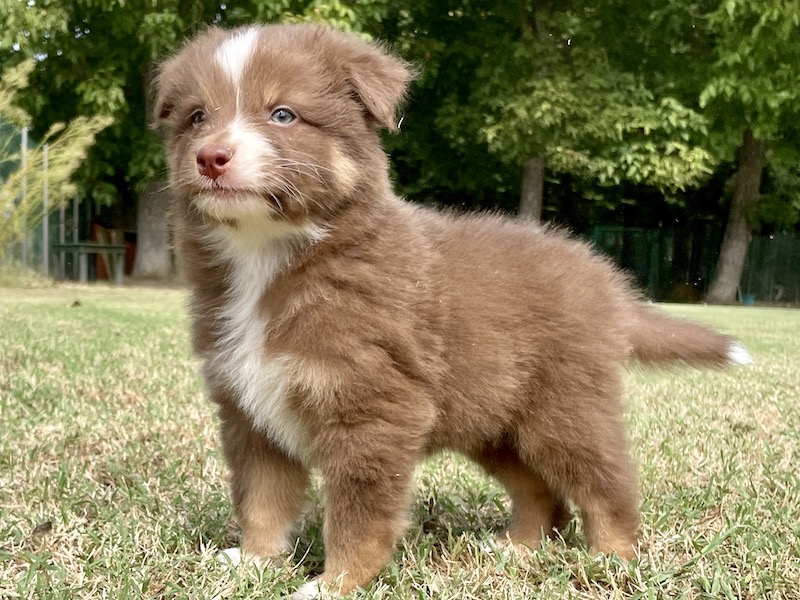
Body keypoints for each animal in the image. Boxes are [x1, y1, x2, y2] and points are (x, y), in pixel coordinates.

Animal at [153, 24, 752, 600]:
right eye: (197, 117)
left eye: (283, 114)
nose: (211, 156)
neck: (270, 257)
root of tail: (604, 280)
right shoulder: (249, 410)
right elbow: (262, 499)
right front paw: (254, 563)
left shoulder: (373, 410)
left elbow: (356, 516)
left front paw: (334, 584)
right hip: (496, 421)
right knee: (542, 491)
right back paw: (517, 549)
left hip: (565, 407)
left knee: (606, 481)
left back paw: (612, 558)